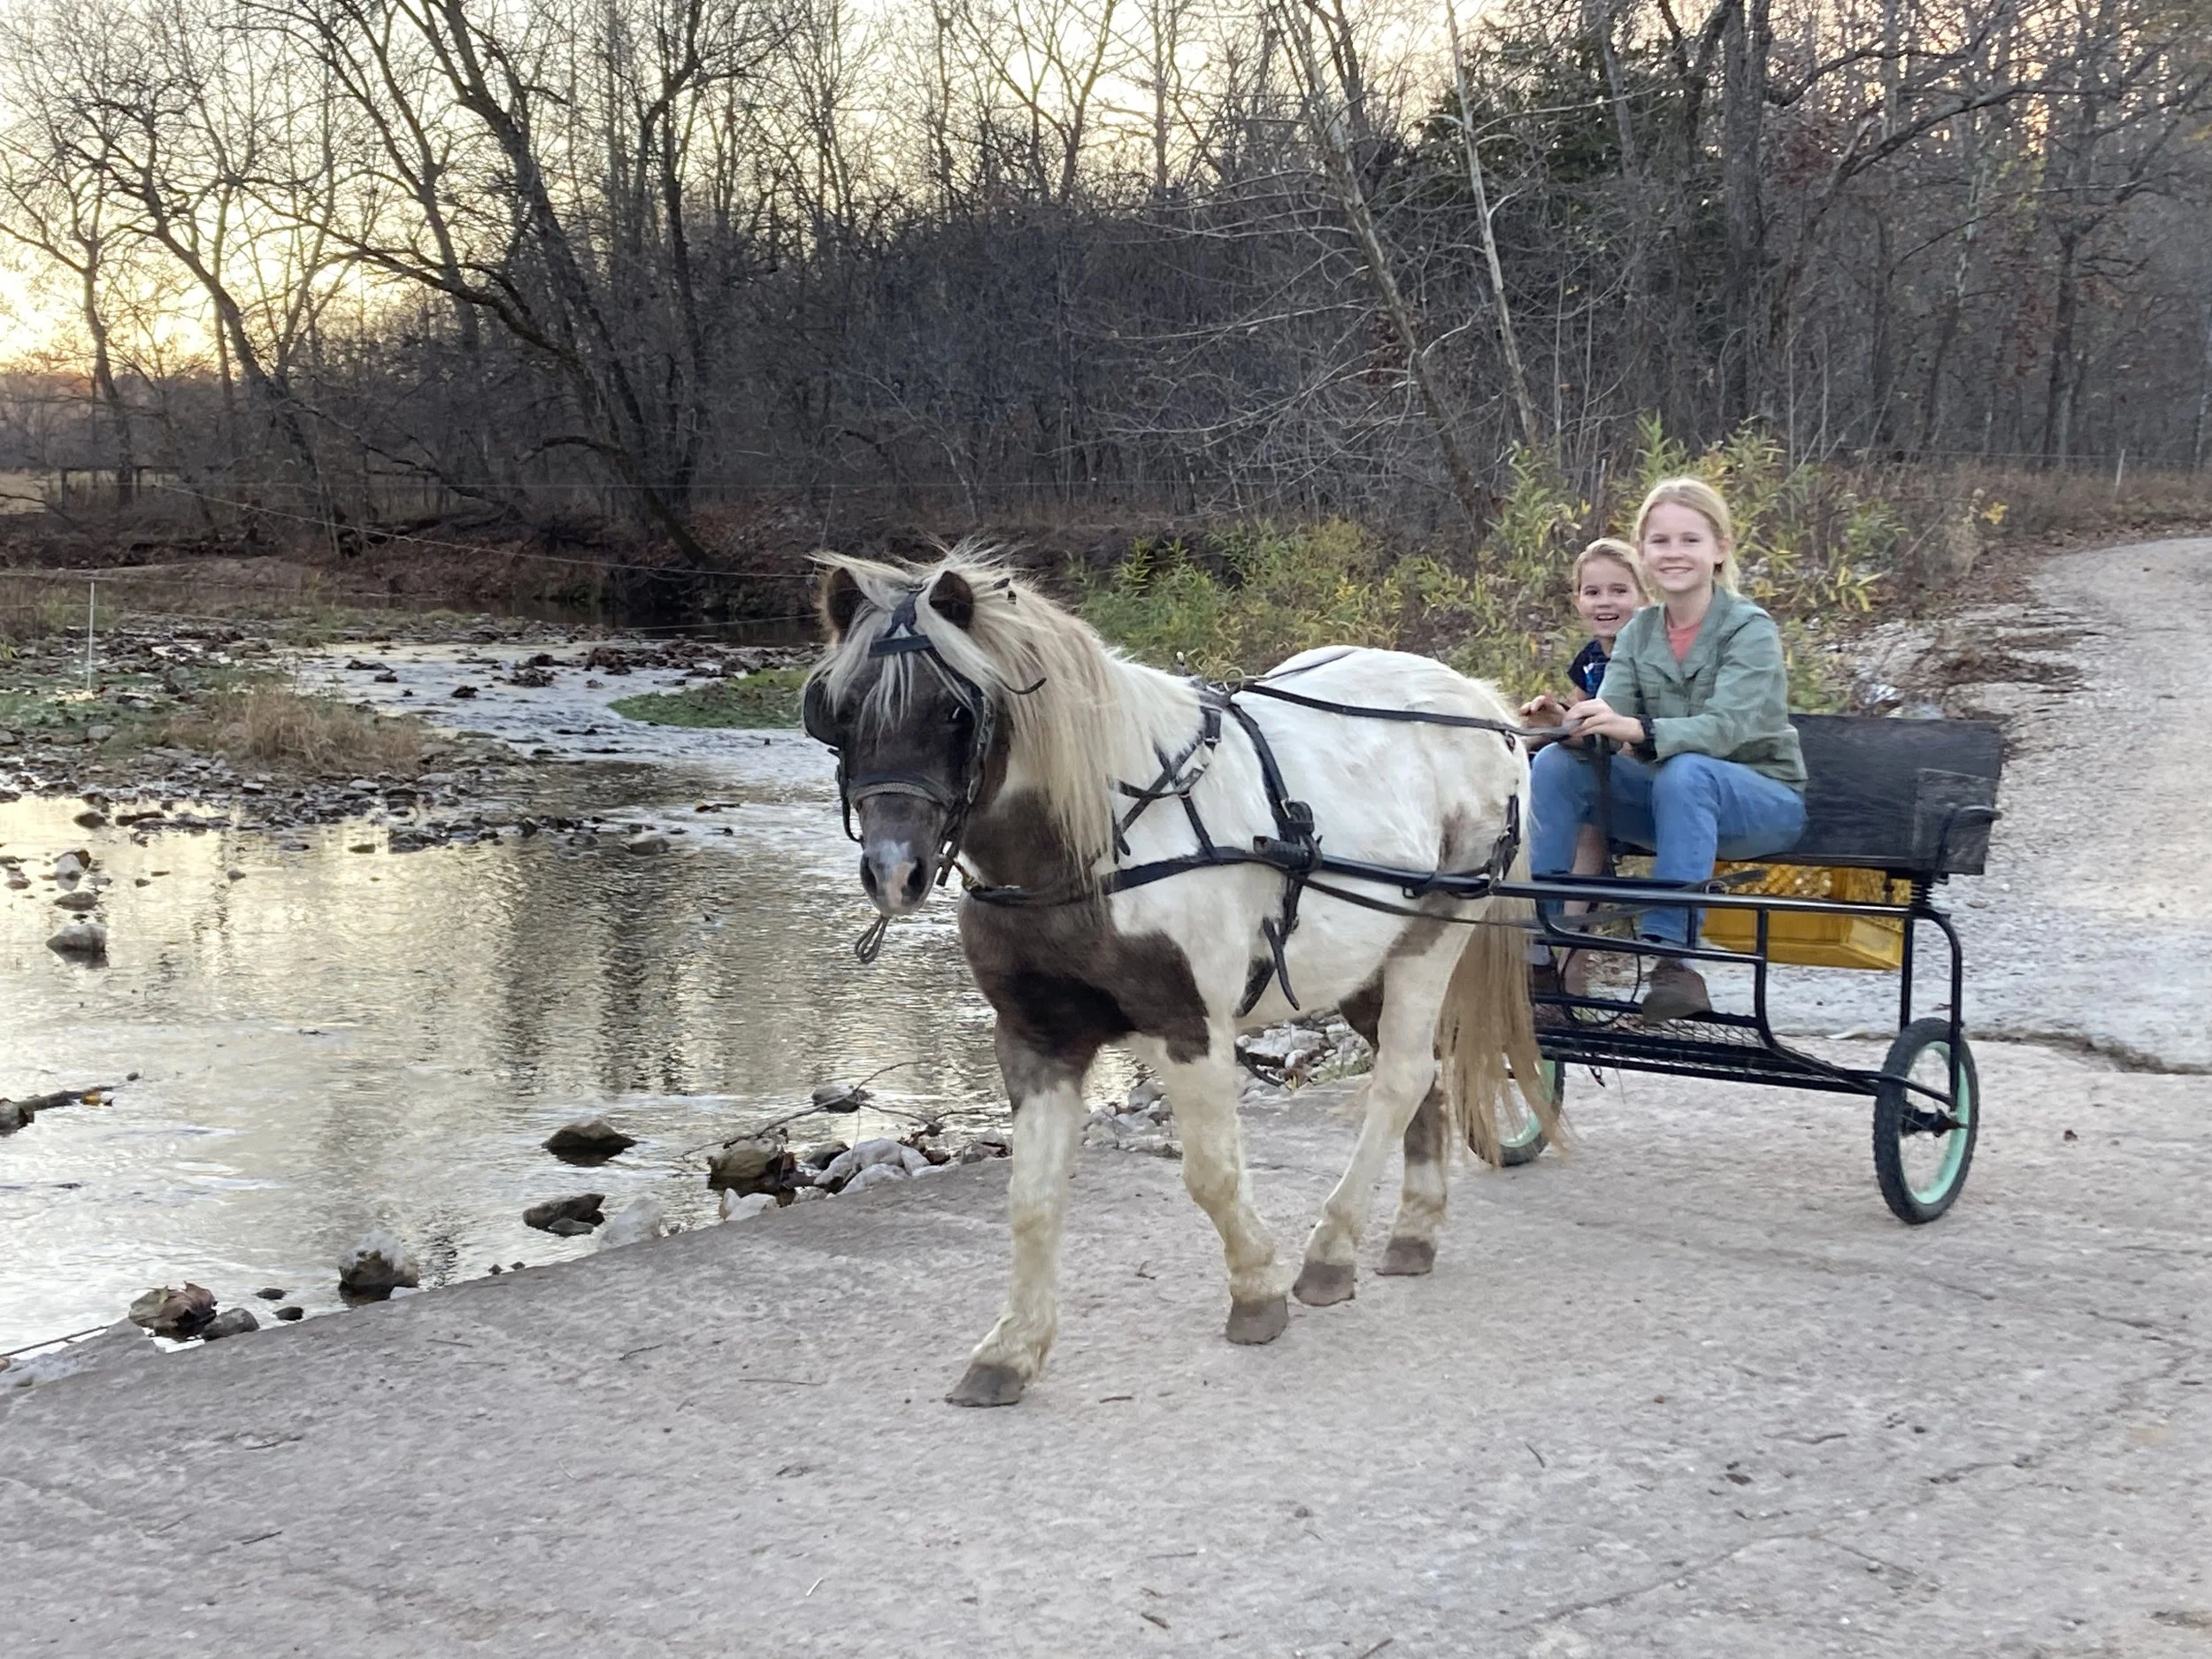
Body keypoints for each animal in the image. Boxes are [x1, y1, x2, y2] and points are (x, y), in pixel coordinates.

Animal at [803, 543, 1561, 1406]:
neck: (1095, 843)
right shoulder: (1034, 1037)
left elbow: (1211, 1175)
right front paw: (1012, 1349)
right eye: (840, 709)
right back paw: (1412, 1229)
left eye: (955, 711)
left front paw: (1256, 1290)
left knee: (1399, 1079)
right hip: (1365, 965)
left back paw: (1330, 1249)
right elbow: (1031, 1199)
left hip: (1430, 941)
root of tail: (1482, 705)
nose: (894, 871)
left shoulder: (1188, 1025)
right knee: (1424, 1078)